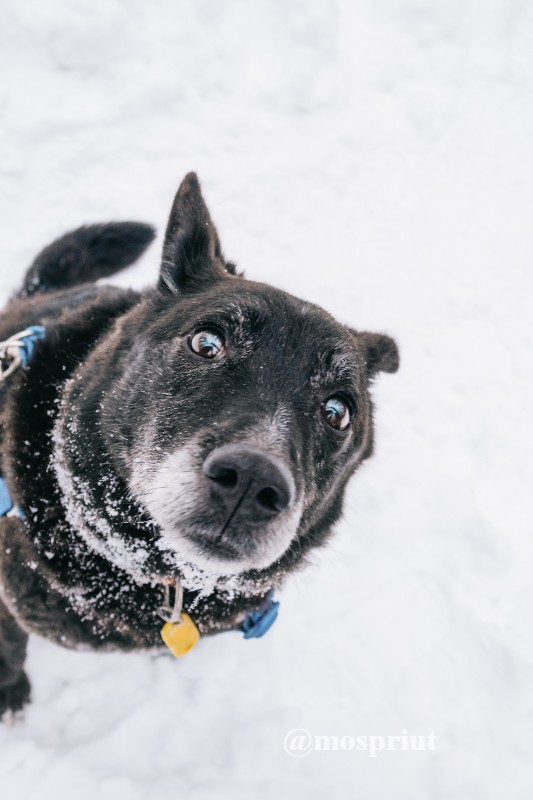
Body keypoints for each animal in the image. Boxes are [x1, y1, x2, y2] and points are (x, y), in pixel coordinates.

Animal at [0, 172, 396, 716]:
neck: (153, 576)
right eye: (207, 343)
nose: (251, 482)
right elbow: (9, 643)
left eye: (338, 411)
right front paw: (9, 691)